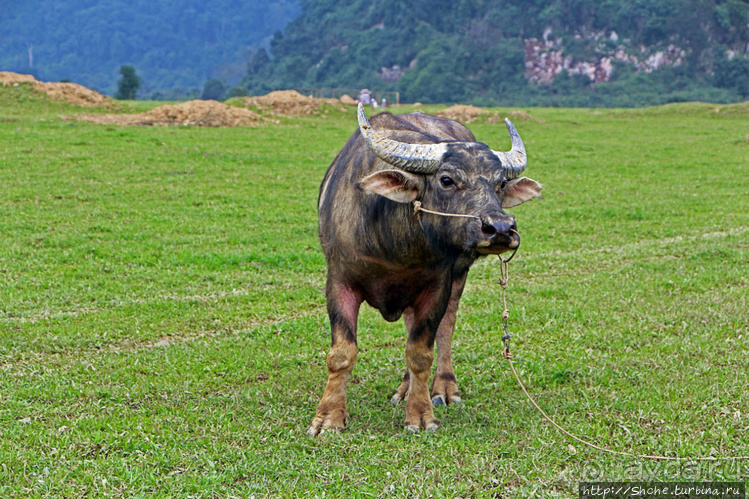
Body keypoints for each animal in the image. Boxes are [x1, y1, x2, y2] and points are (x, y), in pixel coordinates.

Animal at [306, 104, 540, 434]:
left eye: (500, 184)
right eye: (447, 180)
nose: (501, 228)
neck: (394, 244)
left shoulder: (437, 286)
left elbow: (420, 352)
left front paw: (420, 414)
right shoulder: (340, 281)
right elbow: (342, 353)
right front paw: (329, 417)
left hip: (458, 277)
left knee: (446, 327)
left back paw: (444, 388)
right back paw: (404, 389)